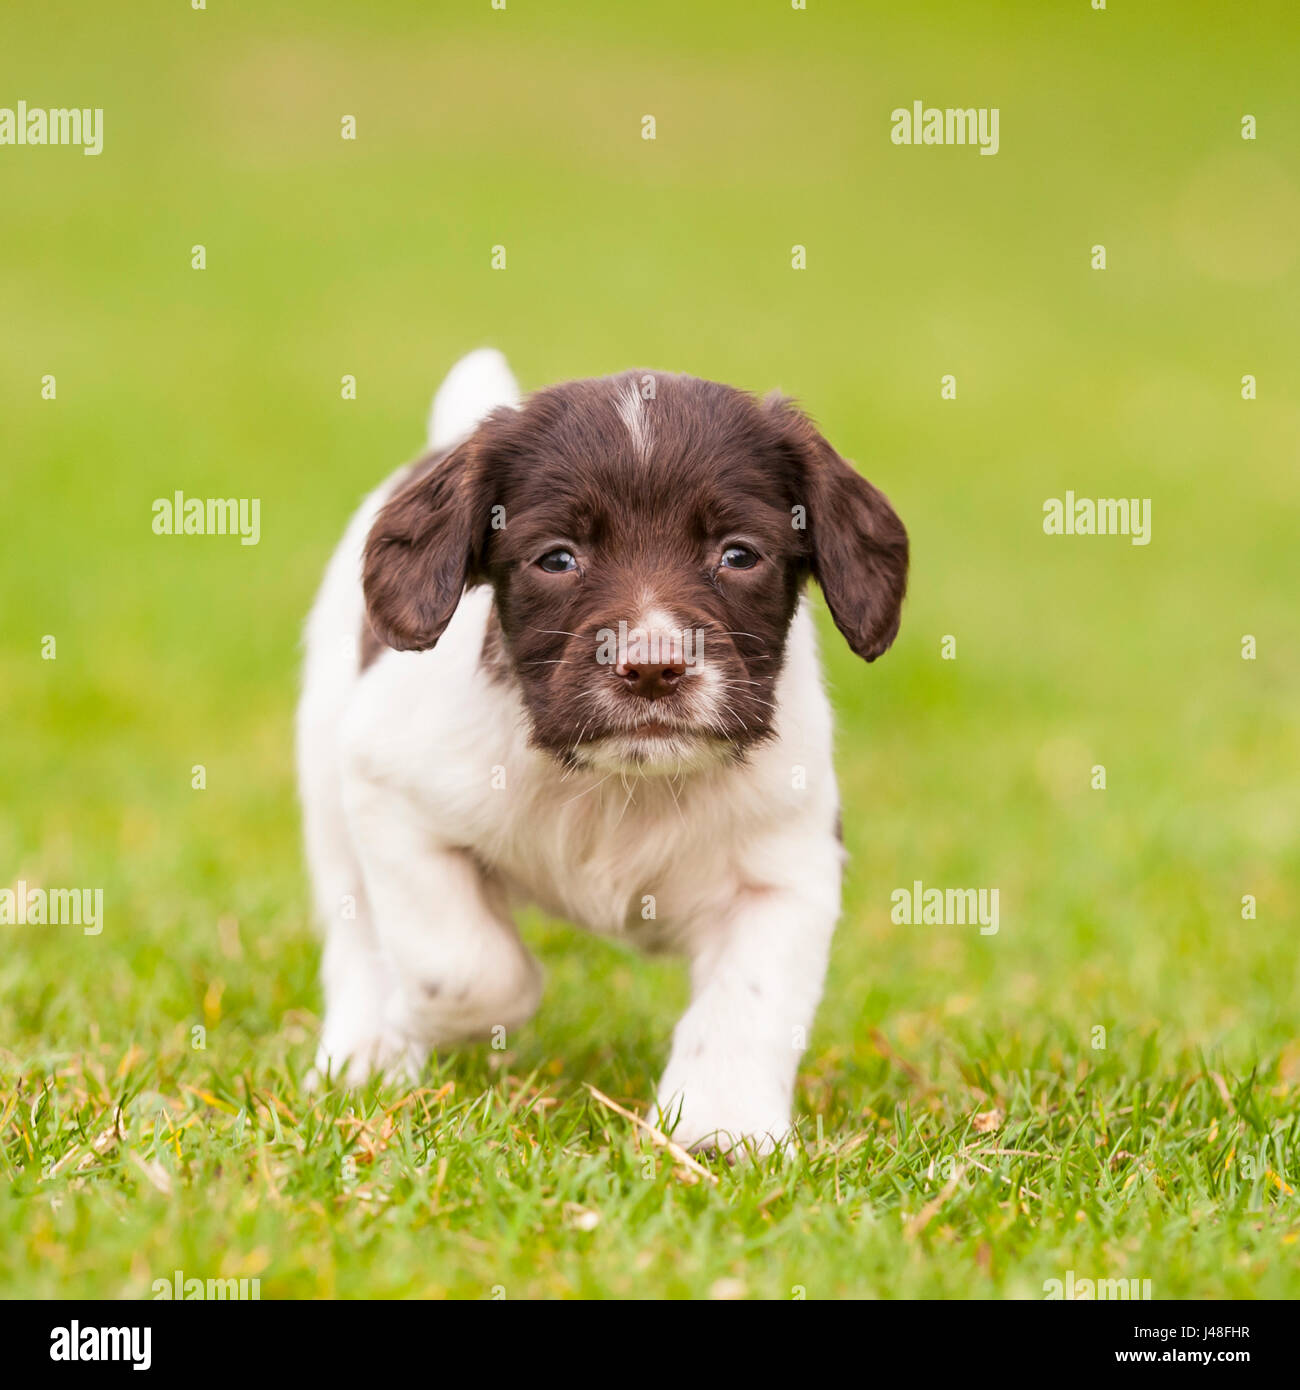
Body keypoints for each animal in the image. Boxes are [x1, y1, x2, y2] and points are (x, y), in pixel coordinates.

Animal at [296, 353, 912, 1156]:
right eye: (557, 559)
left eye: (739, 555)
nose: (651, 667)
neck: (621, 784)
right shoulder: (386, 788)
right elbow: (462, 965)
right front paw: (419, 1018)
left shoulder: (786, 869)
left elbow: (749, 1007)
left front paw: (721, 1126)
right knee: (356, 931)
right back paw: (366, 1050)